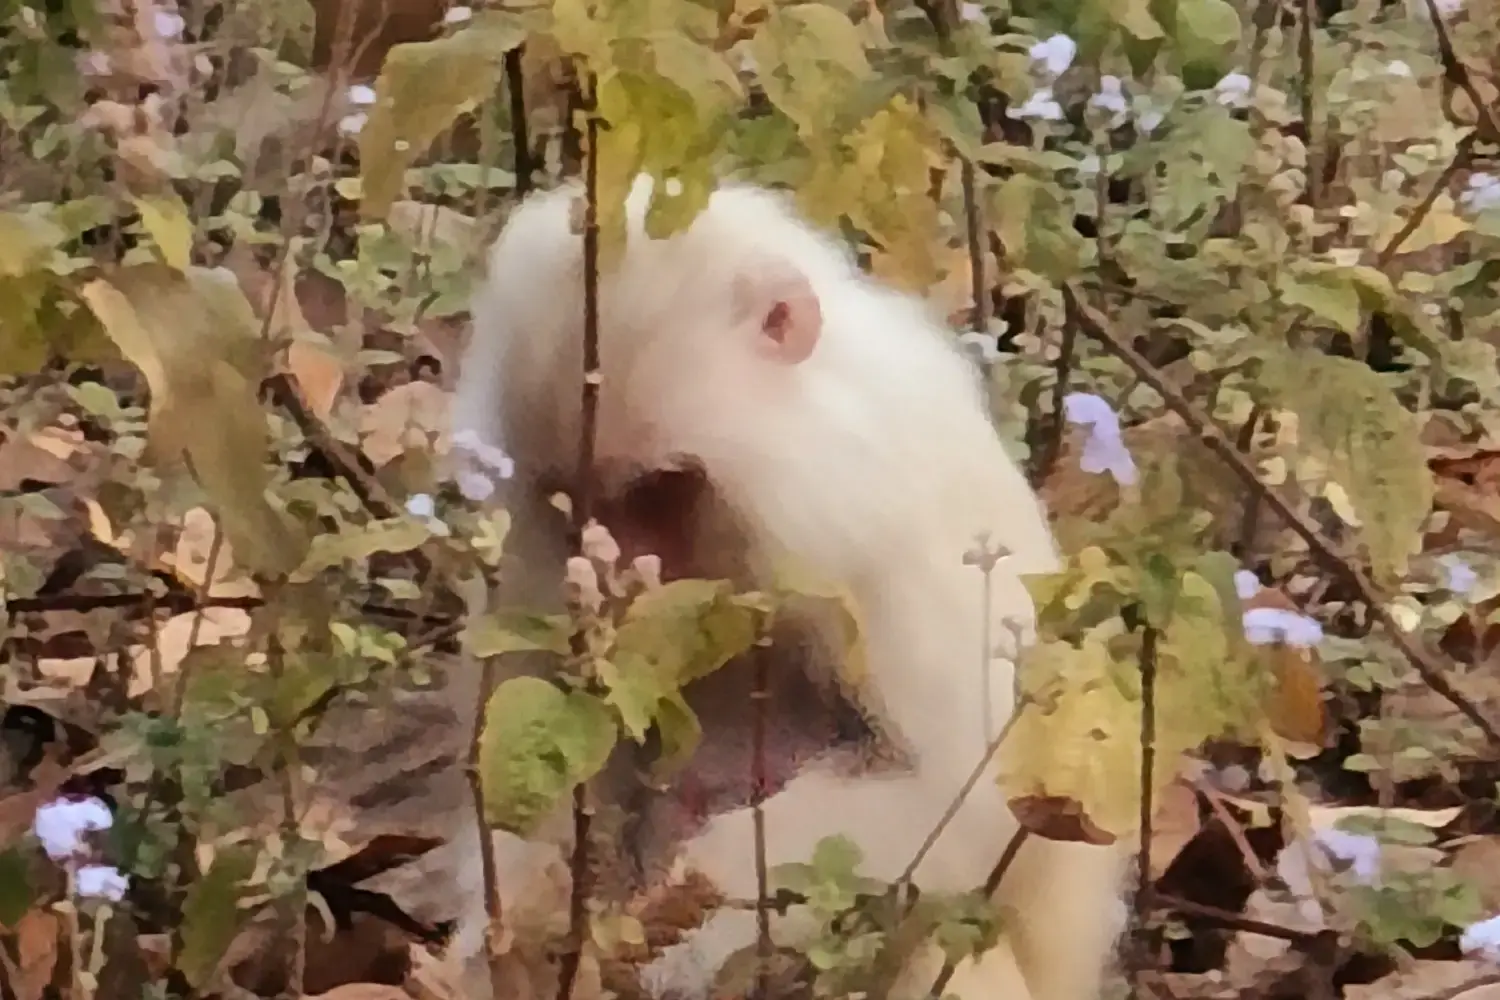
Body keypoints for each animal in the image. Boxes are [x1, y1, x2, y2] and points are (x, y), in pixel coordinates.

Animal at [442, 174, 1133, 1000]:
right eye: (569, 501)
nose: (615, 582)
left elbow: (961, 799)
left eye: (656, 491)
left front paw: (671, 930)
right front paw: (524, 928)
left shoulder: (896, 530)